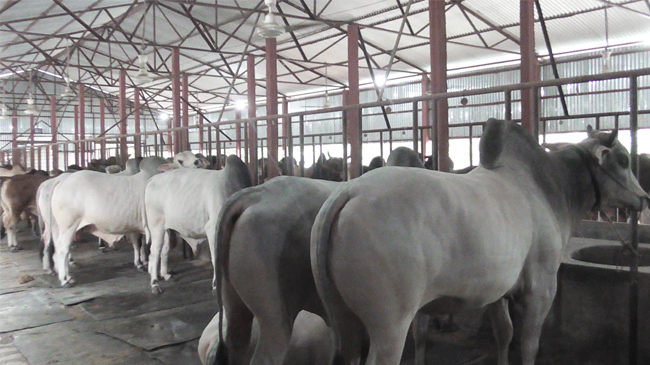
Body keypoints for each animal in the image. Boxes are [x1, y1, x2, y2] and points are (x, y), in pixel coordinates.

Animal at [143, 154, 249, 292]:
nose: (197, 162)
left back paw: (165, 275)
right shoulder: (212, 228)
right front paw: (216, 285)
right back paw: (154, 284)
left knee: (164, 249)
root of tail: (153, 179)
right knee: (154, 252)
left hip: (166, 229)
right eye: (180, 161)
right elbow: (216, 258)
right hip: (156, 226)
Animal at [312, 119, 644, 364]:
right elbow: (529, 346)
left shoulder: (498, 291)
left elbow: (504, 334)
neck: (550, 189)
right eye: (624, 160)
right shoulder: (541, 289)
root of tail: (350, 191)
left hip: (345, 320)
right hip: (390, 326)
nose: (643, 198)